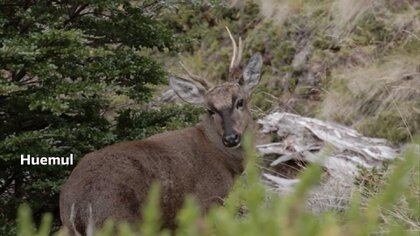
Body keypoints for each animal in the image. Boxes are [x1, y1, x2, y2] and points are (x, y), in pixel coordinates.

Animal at [59, 29, 262, 234]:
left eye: (240, 101)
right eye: (210, 110)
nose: (231, 138)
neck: (223, 160)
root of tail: (79, 210)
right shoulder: (205, 205)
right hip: (119, 222)